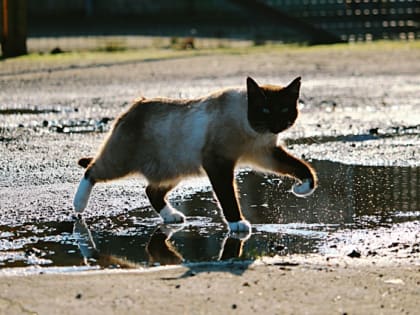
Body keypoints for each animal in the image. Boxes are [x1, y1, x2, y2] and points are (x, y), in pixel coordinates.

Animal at [74, 77, 318, 233]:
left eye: (284, 110)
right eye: (265, 110)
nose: (276, 125)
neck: (255, 132)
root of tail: (136, 104)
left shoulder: (265, 154)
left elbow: (303, 169)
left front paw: (301, 189)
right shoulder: (218, 163)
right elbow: (228, 197)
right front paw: (237, 224)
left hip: (174, 170)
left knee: (151, 191)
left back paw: (171, 216)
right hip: (121, 163)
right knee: (91, 171)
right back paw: (78, 207)